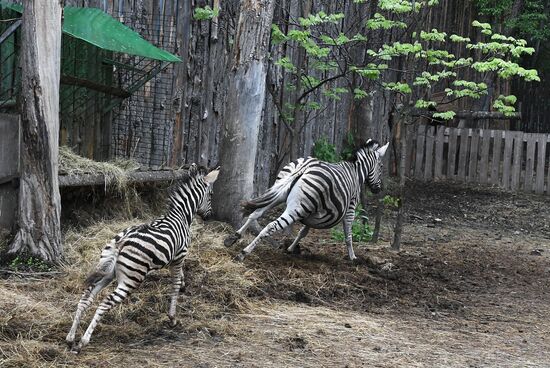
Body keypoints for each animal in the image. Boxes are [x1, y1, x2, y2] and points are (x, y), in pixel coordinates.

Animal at [65, 165, 220, 354]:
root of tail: (123, 240)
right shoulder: (180, 255)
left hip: (108, 272)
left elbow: (180, 278)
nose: (209, 216)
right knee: (105, 303)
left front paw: (183, 286)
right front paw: (172, 318)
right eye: (211, 195)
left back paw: (71, 338)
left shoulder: (176, 258)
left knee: (86, 298)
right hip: (131, 278)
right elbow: (175, 284)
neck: (181, 215)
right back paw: (83, 341)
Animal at [226, 139, 390, 262]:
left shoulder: (314, 212)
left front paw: (291, 248)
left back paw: (234, 237)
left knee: (256, 213)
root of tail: (305, 166)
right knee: (271, 226)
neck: (356, 172)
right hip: (297, 208)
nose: (378, 189)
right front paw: (353, 257)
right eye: (381, 166)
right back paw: (244, 252)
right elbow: (348, 235)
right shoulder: (350, 208)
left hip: (281, 195)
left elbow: (303, 232)